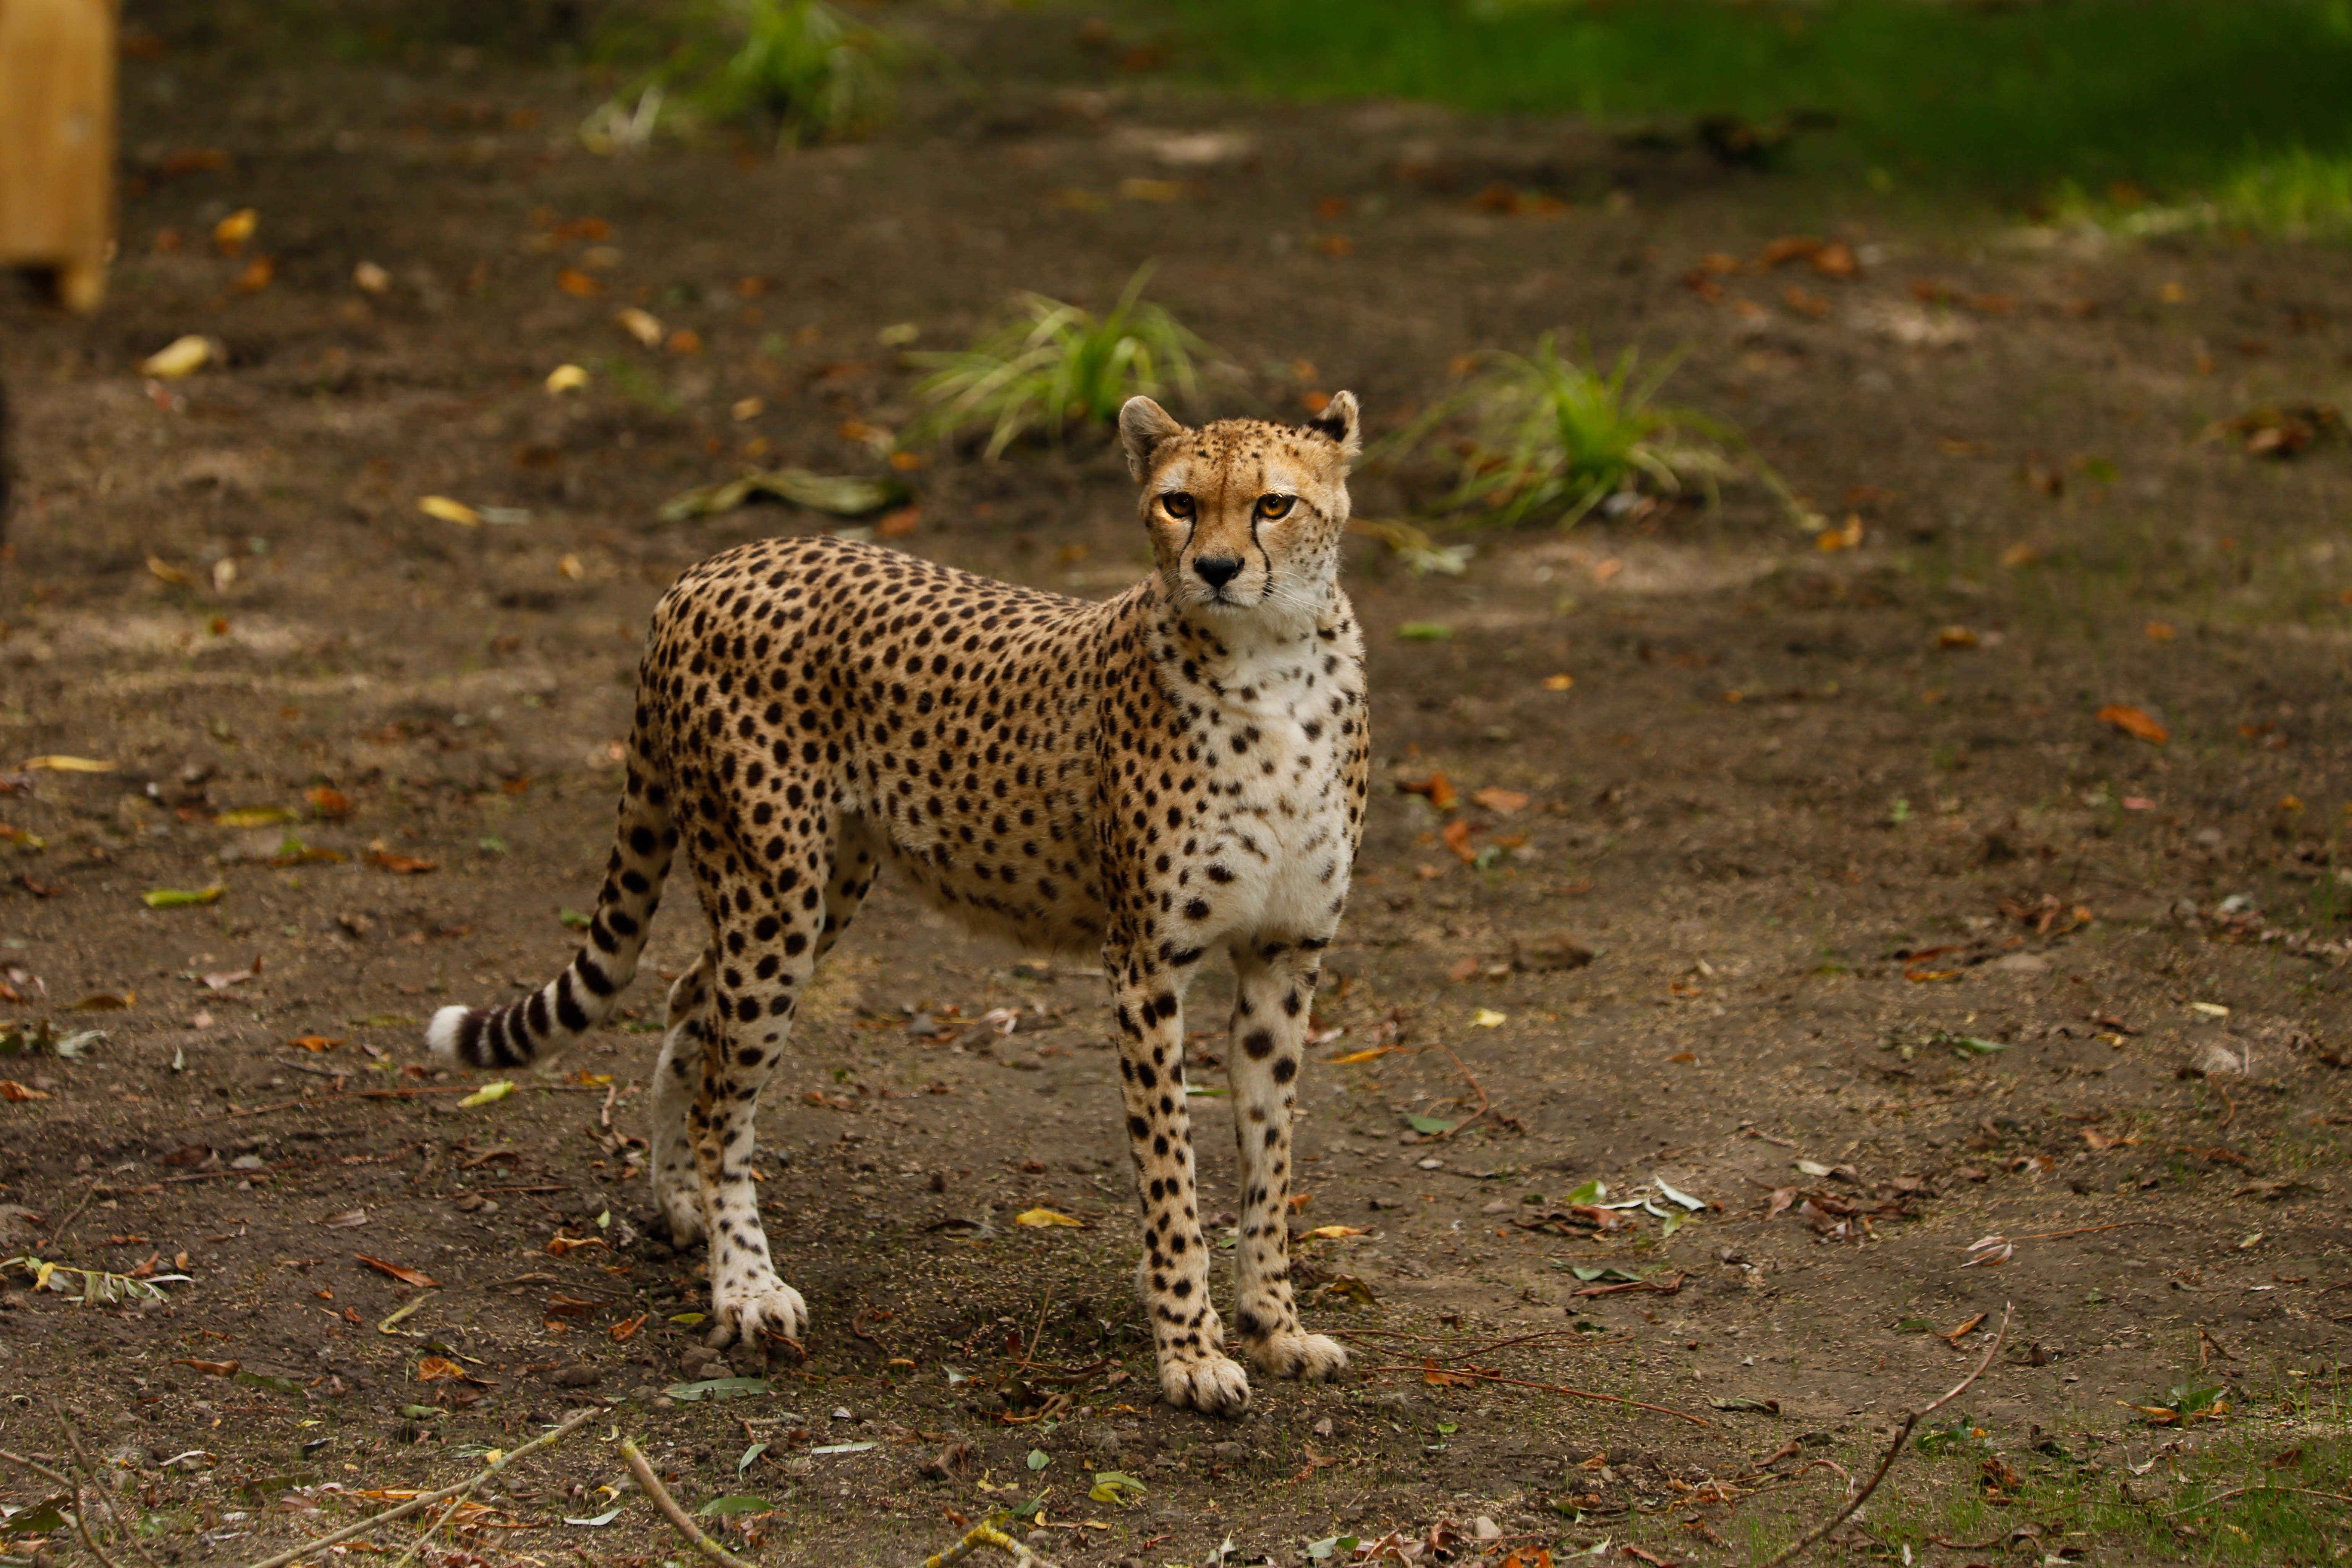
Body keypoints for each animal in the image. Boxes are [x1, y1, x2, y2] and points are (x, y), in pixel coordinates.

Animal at [432, 395, 1373, 1420]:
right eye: (1178, 502)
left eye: (1274, 504)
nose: (1215, 569)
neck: (1271, 667)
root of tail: (716, 563)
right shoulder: (1143, 966)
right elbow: (1170, 1173)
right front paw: (1190, 1349)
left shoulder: (1285, 956)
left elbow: (1269, 1162)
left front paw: (1274, 1326)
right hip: (774, 892)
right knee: (726, 1092)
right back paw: (744, 1284)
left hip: (819, 886)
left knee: (691, 1000)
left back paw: (679, 1202)